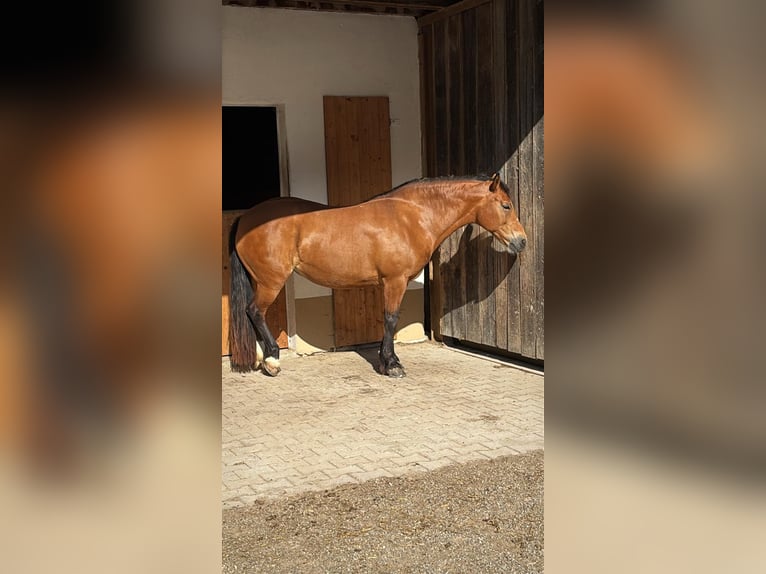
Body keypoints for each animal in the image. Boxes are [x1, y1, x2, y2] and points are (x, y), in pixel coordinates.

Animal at [228, 173, 527, 378]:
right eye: (506, 205)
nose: (521, 241)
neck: (412, 217)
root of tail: (246, 218)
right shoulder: (395, 281)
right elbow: (391, 319)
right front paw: (392, 364)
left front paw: (387, 361)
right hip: (271, 282)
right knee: (255, 311)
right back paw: (272, 361)